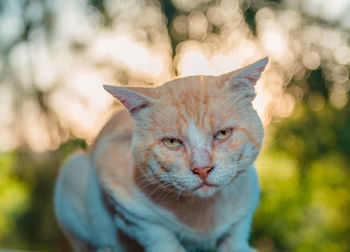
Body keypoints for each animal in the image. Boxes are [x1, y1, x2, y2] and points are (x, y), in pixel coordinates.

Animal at [54, 57, 268, 252]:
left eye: (223, 133)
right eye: (172, 142)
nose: (202, 169)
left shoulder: (249, 196)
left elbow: (237, 232)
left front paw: (238, 245)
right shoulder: (120, 196)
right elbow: (157, 234)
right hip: (72, 170)